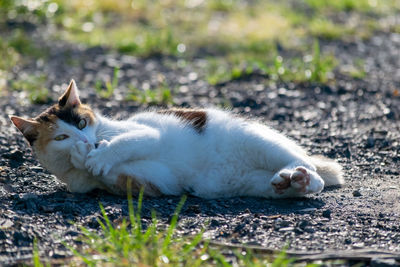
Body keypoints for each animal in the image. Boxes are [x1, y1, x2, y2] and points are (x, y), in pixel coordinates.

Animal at [8, 79, 344, 199]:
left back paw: (304, 176)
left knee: (310, 169)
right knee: (282, 184)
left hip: (258, 141)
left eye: (81, 121)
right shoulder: (147, 183)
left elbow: (125, 143)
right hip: (235, 185)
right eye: (62, 136)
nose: (85, 140)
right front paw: (83, 157)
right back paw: (291, 183)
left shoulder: (147, 133)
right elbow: (110, 175)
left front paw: (99, 155)